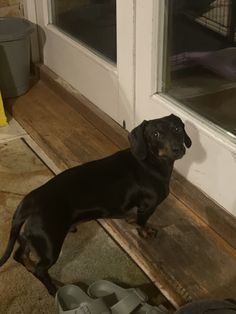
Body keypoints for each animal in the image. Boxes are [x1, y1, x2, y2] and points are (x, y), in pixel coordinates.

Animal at [0, 114, 192, 296]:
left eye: (177, 129)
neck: (150, 162)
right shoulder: (148, 206)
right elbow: (143, 222)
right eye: (155, 134)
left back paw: (31, 266)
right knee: (40, 270)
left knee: (20, 255)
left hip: (31, 237)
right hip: (50, 245)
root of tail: (28, 203)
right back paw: (54, 289)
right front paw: (145, 231)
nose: (178, 149)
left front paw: (132, 220)